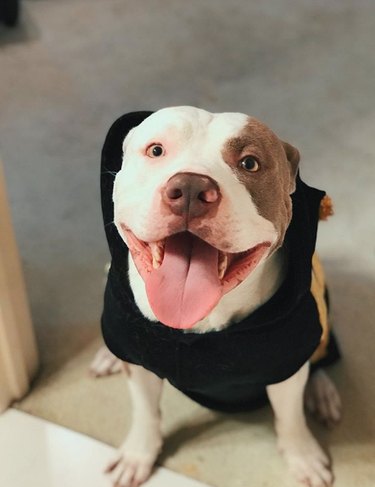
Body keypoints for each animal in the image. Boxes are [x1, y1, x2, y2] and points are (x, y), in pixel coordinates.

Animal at [91, 107, 340, 487]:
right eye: (156, 150)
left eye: (250, 163)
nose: (191, 188)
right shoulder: (138, 354)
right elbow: (146, 411)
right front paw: (138, 454)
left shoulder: (287, 361)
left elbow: (291, 416)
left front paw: (303, 455)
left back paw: (322, 390)